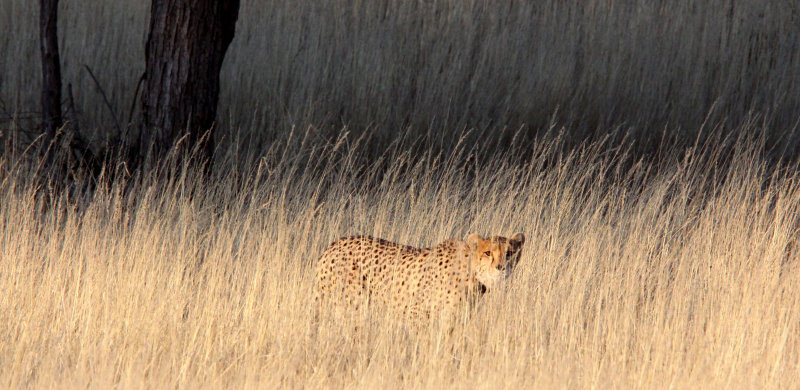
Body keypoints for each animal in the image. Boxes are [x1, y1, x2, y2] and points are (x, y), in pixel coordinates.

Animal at [312, 235, 524, 320]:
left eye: (510, 253)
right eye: (488, 253)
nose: (500, 267)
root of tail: (334, 244)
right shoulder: (417, 311)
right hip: (353, 302)